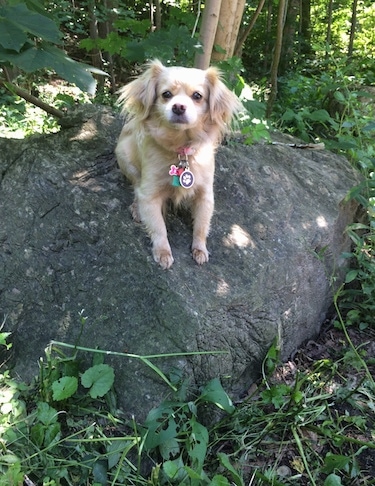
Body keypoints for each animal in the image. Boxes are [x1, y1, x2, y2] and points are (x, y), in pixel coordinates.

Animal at [116, 59, 242, 270]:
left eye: (197, 96)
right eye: (166, 94)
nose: (179, 107)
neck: (181, 149)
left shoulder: (205, 195)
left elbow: (201, 226)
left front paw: (199, 249)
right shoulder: (149, 196)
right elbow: (158, 228)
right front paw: (163, 252)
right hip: (125, 158)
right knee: (135, 185)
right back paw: (136, 207)